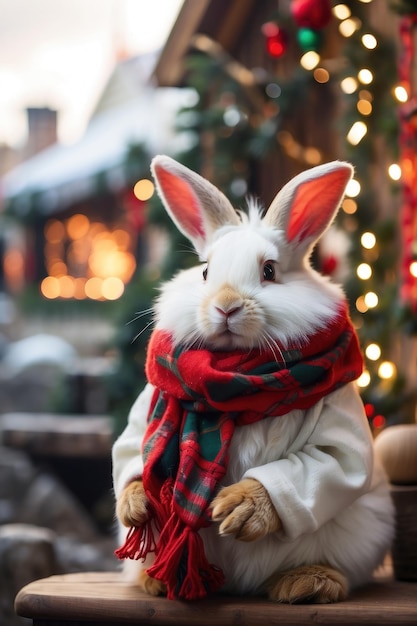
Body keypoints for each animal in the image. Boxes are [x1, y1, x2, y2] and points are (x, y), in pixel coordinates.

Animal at [111, 155, 394, 600]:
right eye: (205, 272)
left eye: (270, 270)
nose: (226, 305)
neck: (235, 376)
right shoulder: (146, 409)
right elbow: (129, 454)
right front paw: (137, 505)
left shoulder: (339, 427)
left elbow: (332, 461)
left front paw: (240, 507)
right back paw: (154, 579)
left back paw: (307, 582)